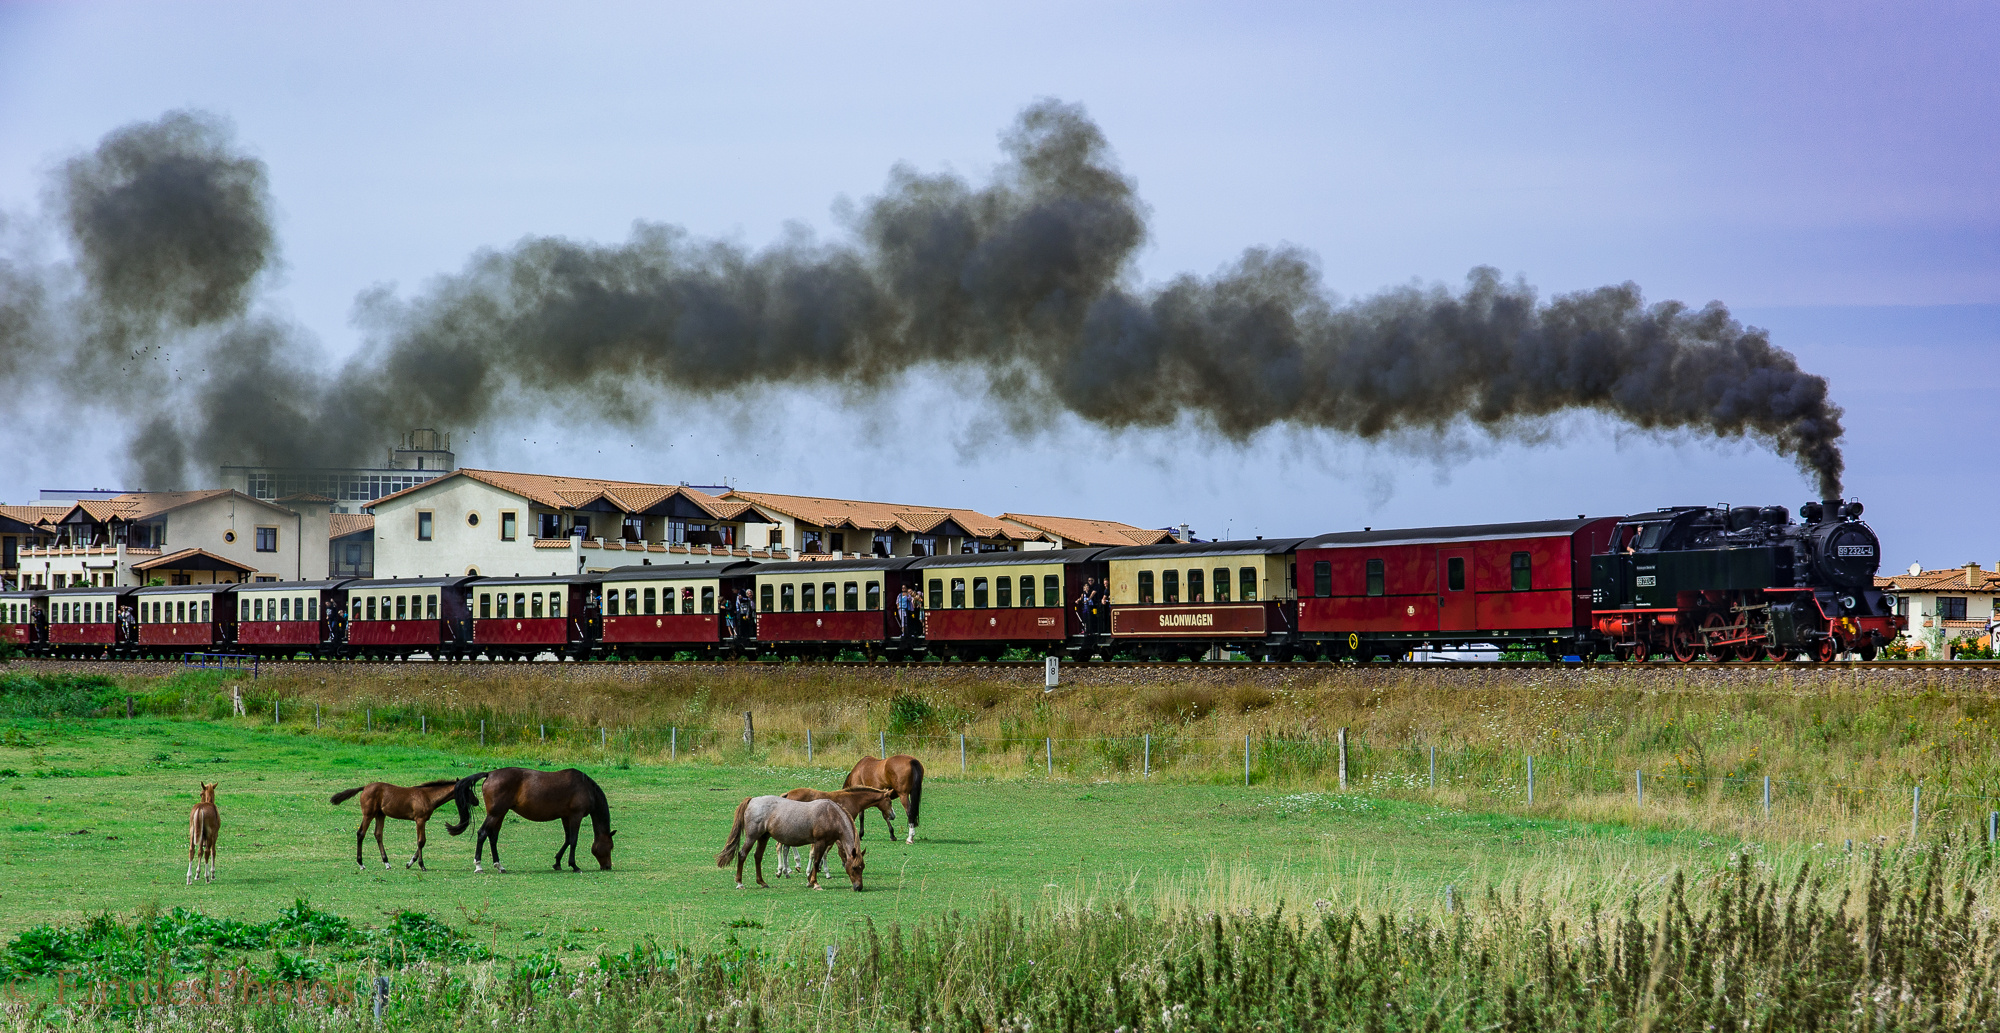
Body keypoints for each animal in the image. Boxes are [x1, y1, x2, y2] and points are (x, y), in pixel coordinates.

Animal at [334, 780, 482, 868]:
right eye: (467, 791)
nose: (477, 801)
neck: (428, 796)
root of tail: (365, 787)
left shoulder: (421, 820)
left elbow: (421, 841)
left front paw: (409, 863)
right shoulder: (420, 820)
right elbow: (421, 841)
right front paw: (421, 865)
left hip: (380, 815)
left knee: (378, 835)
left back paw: (387, 863)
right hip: (368, 814)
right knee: (361, 833)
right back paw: (361, 863)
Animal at [462, 764, 612, 872]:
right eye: (611, 846)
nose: (608, 866)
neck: (585, 787)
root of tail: (490, 774)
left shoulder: (565, 817)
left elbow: (568, 839)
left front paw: (557, 863)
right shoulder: (576, 815)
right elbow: (574, 840)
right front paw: (574, 865)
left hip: (500, 814)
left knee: (493, 837)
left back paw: (499, 866)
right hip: (494, 814)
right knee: (482, 833)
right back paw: (478, 866)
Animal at [716, 796, 864, 892]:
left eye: (862, 867)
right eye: (854, 867)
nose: (859, 887)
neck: (831, 814)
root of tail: (753, 800)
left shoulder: (826, 843)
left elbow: (817, 861)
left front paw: (809, 881)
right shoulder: (820, 842)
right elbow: (816, 862)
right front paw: (815, 883)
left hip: (763, 837)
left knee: (758, 857)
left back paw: (762, 882)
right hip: (752, 837)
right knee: (742, 855)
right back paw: (740, 883)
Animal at [772, 788, 900, 876]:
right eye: (890, 802)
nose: (893, 815)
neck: (852, 800)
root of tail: (787, 794)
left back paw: (789, 868)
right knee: (780, 845)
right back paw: (784, 869)